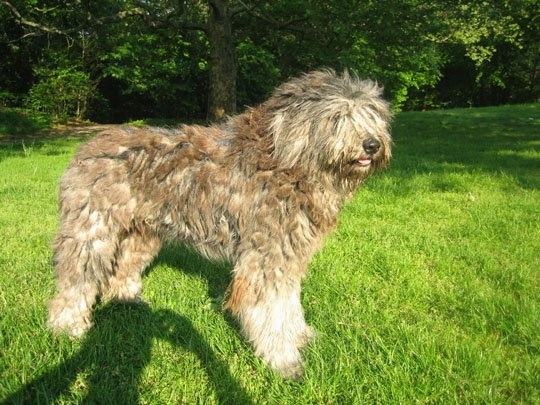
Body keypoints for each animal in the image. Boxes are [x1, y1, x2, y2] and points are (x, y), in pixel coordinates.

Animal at [47, 68, 392, 378]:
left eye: (372, 115)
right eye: (337, 117)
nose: (372, 145)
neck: (287, 162)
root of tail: (86, 147)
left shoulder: (289, 253)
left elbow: (290, 303)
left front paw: (300, 336)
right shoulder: (266, 256)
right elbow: (272, 309)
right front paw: (284, 360)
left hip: (142, 232)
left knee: (123, 268)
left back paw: (127, 299)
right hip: (91, 232)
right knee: (76, 280)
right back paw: (67, 326)